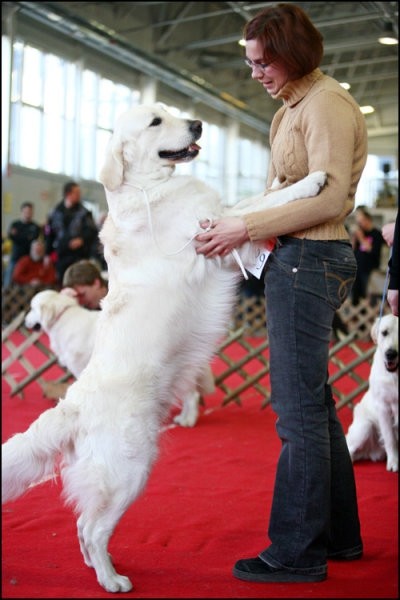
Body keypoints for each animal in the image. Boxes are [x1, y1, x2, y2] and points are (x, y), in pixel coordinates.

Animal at [346, 314, 398, 474]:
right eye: (384, 332)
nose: (391, 354)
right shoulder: (384, 408)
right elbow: (390, 439)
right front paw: (394, 462)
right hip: (365, 427)